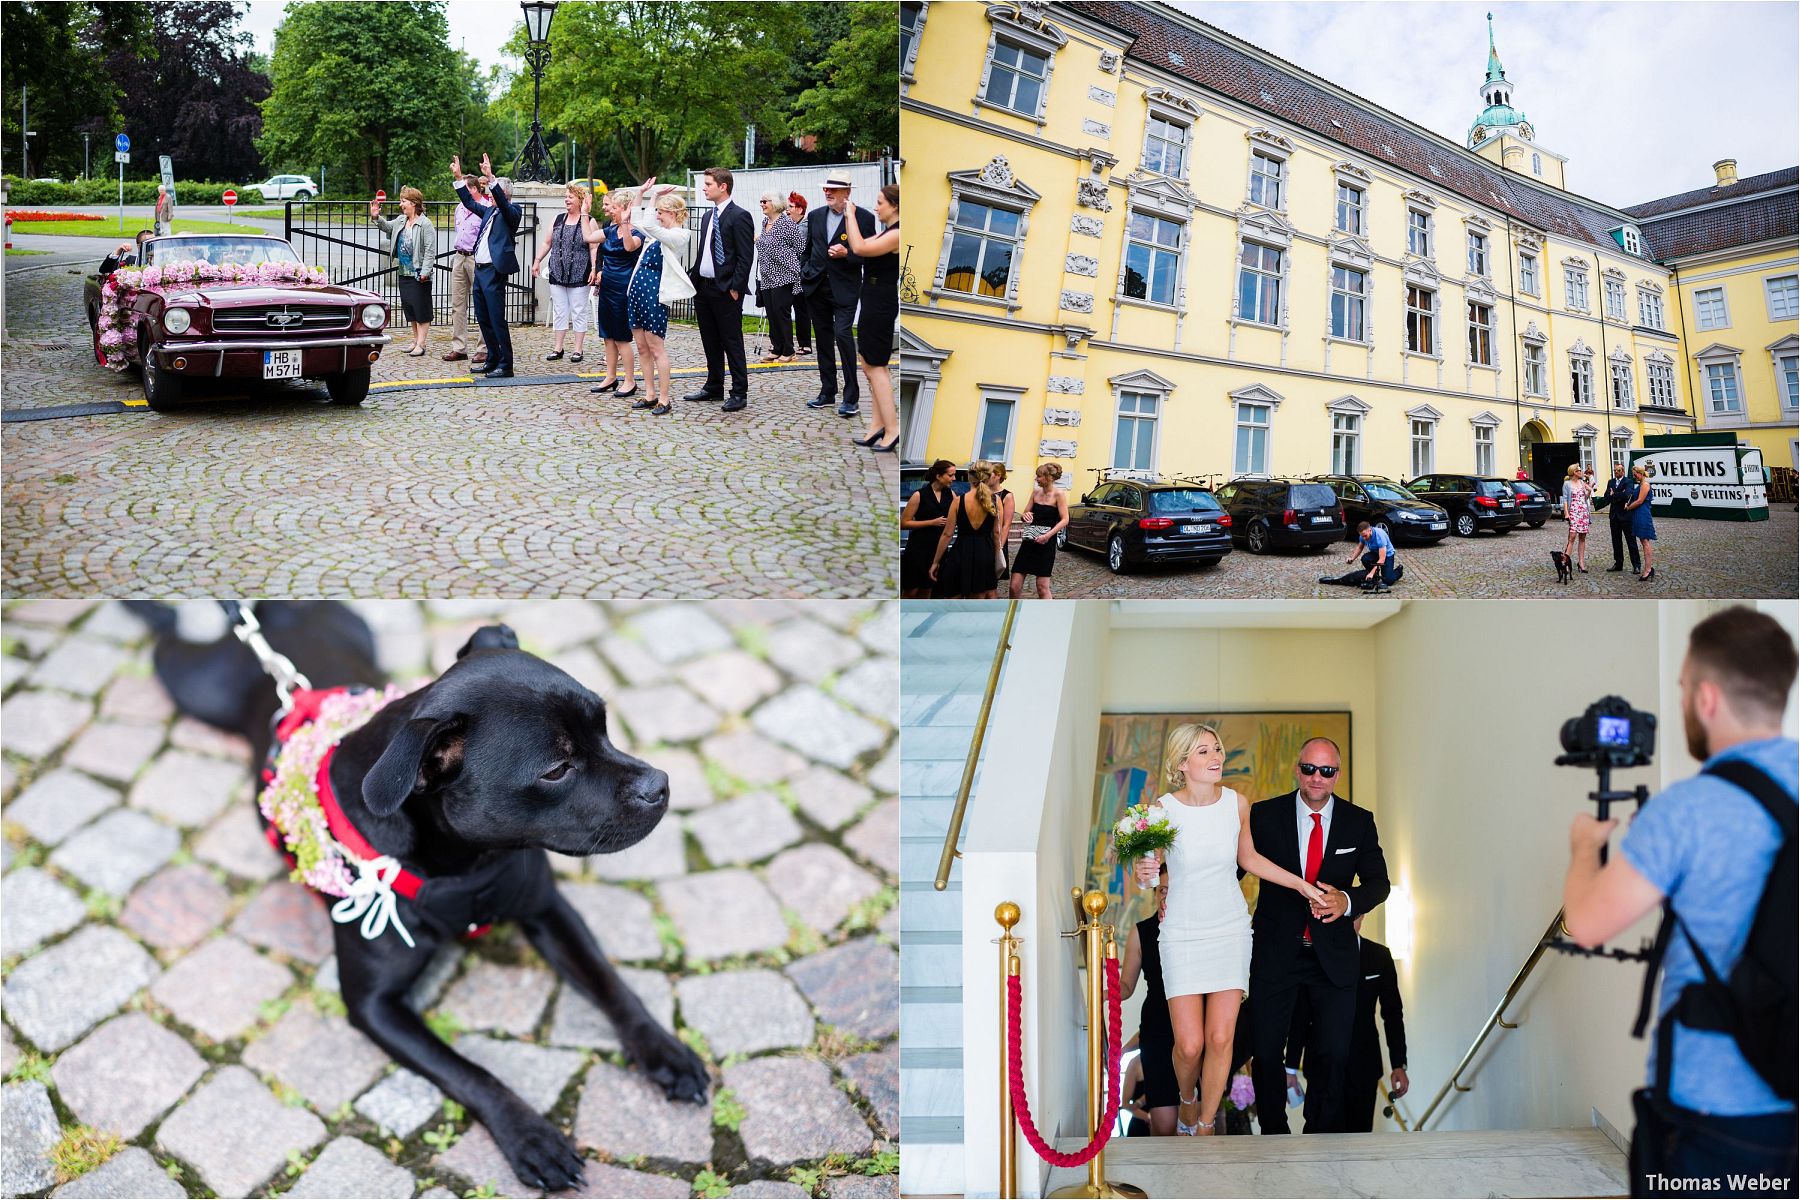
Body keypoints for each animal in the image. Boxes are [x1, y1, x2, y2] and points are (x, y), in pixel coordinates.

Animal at [130, 600, 705, 1194]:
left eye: (606, 728)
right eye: (557, 768)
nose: (660, 785)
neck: (463, 867)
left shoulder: (548, 910)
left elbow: (610, 983)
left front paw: (664, 1050)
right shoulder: (375, 1006)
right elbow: (468, 1070)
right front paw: (530, 1137)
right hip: (194, 682)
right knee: (170, 638)